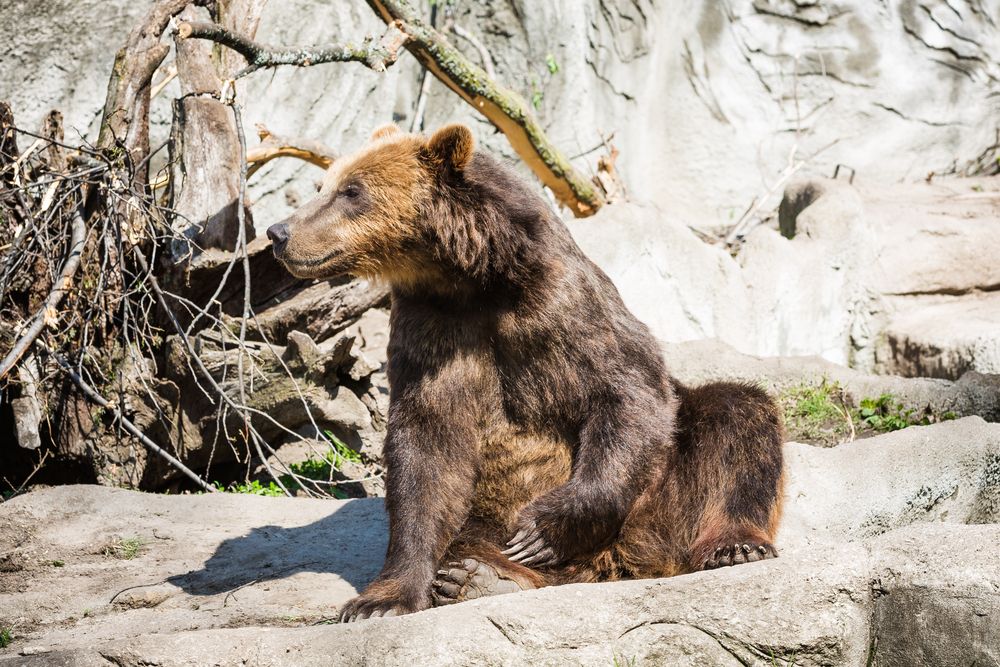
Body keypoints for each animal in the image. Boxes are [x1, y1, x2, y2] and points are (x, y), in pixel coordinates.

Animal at [265, 123, 785, 622]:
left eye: (351, 190)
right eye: (323, 185)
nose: (278, 231)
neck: (473, 279)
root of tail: (628, 557)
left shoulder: (563, 303)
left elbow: (628, 390)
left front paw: (542, 531)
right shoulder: (430, 332)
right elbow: (425, 454)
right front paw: (380, 599)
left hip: (665, 491)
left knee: (735, 421)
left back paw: (734, 544)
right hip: (489, 508)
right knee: (473, 538)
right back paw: (478, 577)